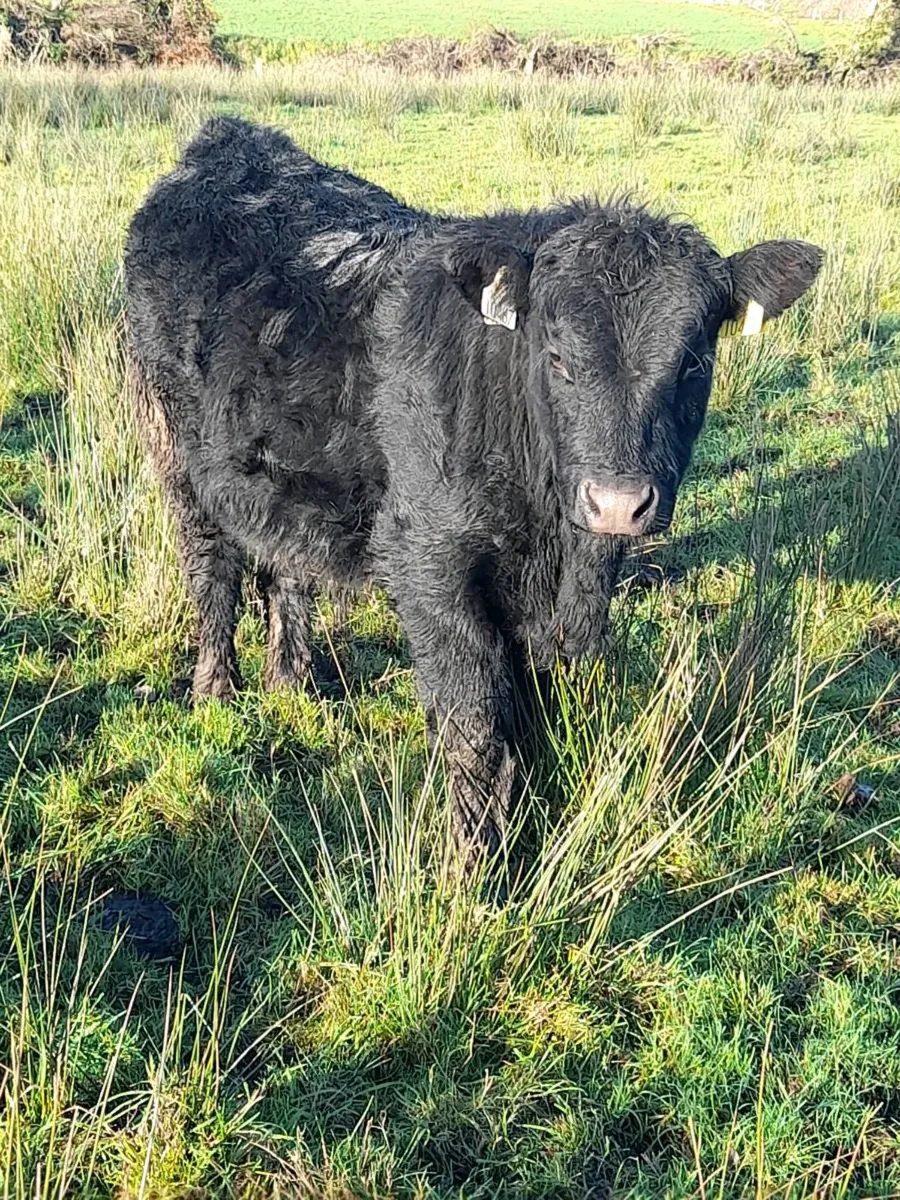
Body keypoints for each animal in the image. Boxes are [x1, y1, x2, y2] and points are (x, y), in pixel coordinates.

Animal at [124, 116, 822, 861]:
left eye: (694, 361)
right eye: (557, 358)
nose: (616, 503)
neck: (547, 532)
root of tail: (227, 143)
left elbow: (538, 719)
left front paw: (532, 834)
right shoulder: (429, 569)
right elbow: (476, 728)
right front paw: (474, 863)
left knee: (285, 570)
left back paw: (293, 686)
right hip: (176, 452)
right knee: (212, 572)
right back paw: (215, 692)